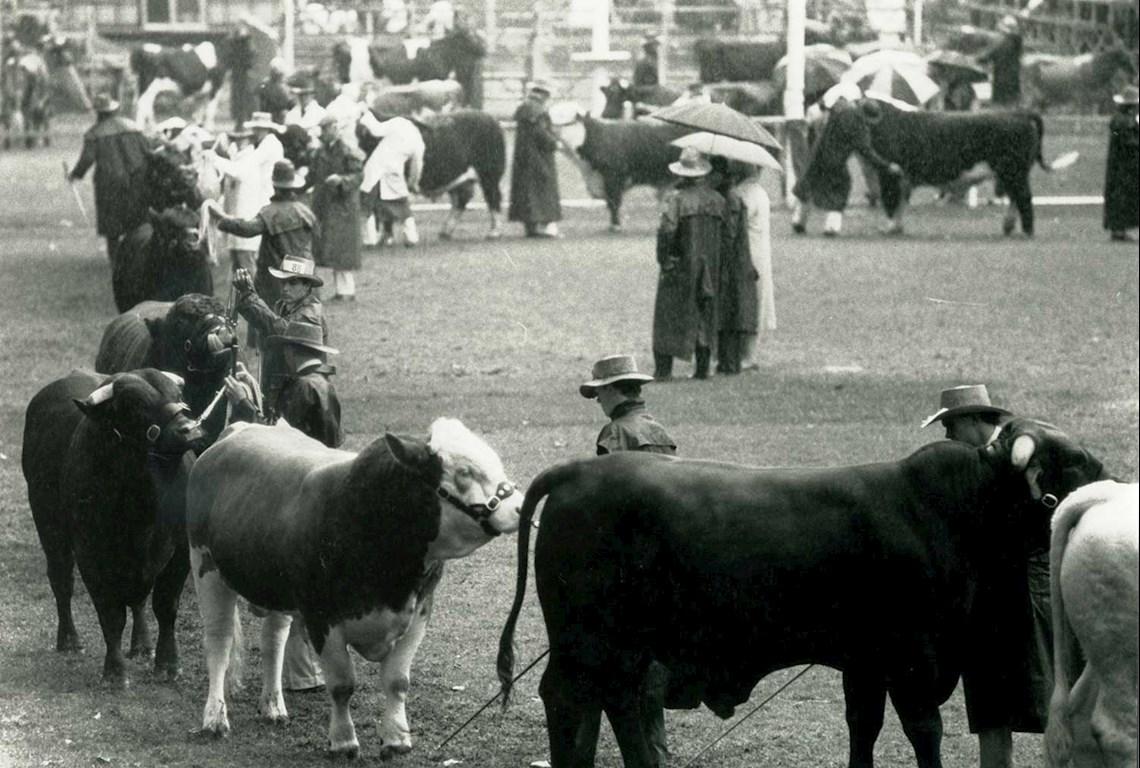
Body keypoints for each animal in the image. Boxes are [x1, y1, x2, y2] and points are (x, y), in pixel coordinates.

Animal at [22, 366, 208, 683]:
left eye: (177, 394)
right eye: (135, 405)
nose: (189, 429)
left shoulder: (181, 551)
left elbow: (165, 606)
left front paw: (168, 663)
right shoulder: (91, 556)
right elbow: (110, 614)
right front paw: (115, 671)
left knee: (139, 601)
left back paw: (143, 645)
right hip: (48, 525)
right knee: (61, 580)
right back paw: (69, 640)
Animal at [188, 414, 524, 756]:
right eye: (464, 471)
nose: (521, 507)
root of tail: (239, 429)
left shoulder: (418, 613)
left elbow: (397, 681)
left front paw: (397, 738)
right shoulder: (321, 618)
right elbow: (342, 684)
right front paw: (343, 741)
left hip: (273, 585)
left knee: (273, 640)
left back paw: (272, 707)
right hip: (205, 566)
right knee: (219, 642)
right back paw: (214, 719)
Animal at [497, 419, 1103, 765]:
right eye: (1075, 463)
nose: (1108, 489)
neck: (952, 508)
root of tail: (578, 472)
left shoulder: (865, 663)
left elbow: (864, 728)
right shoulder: (911, 661)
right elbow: (923, 732)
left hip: (620, 649)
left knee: (616, 703)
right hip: (587, 642)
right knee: (570, 701)